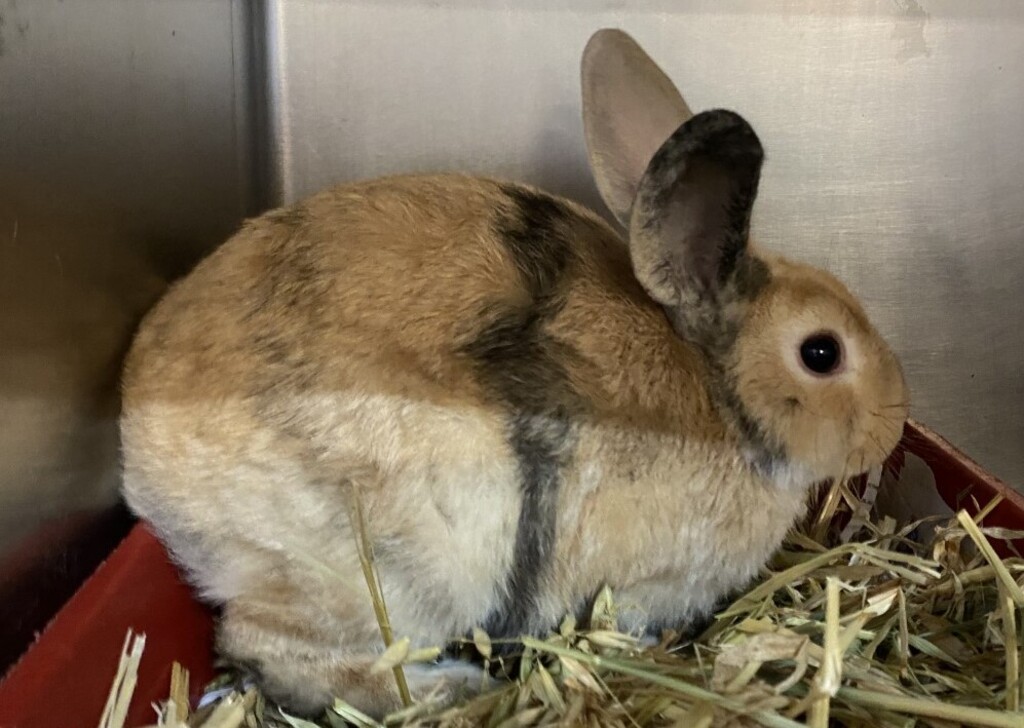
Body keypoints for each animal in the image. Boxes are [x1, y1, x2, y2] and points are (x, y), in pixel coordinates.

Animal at [119, 28, 909, 719]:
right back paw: (451, 687)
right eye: (821, 353)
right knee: (274, 652)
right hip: (374, 578)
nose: (895, 421)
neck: (722, 394)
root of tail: (139, 451)